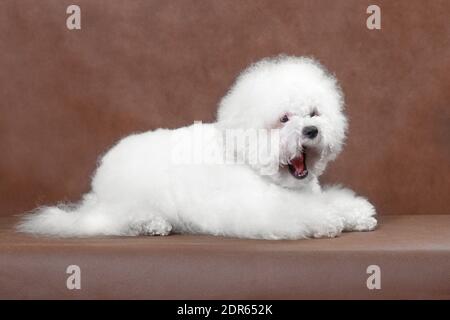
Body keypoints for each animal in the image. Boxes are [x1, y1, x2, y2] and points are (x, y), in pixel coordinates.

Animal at [17, 55, 376, 240]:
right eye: (283, 119)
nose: (311, 130)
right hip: (127, 201)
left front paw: (355, 214)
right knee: (121, 217)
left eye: (314, 113)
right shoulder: (258, 209)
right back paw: (152, 224)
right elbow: (303, 213)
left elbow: (333, 200)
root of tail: (99, 181)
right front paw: (328, 221)